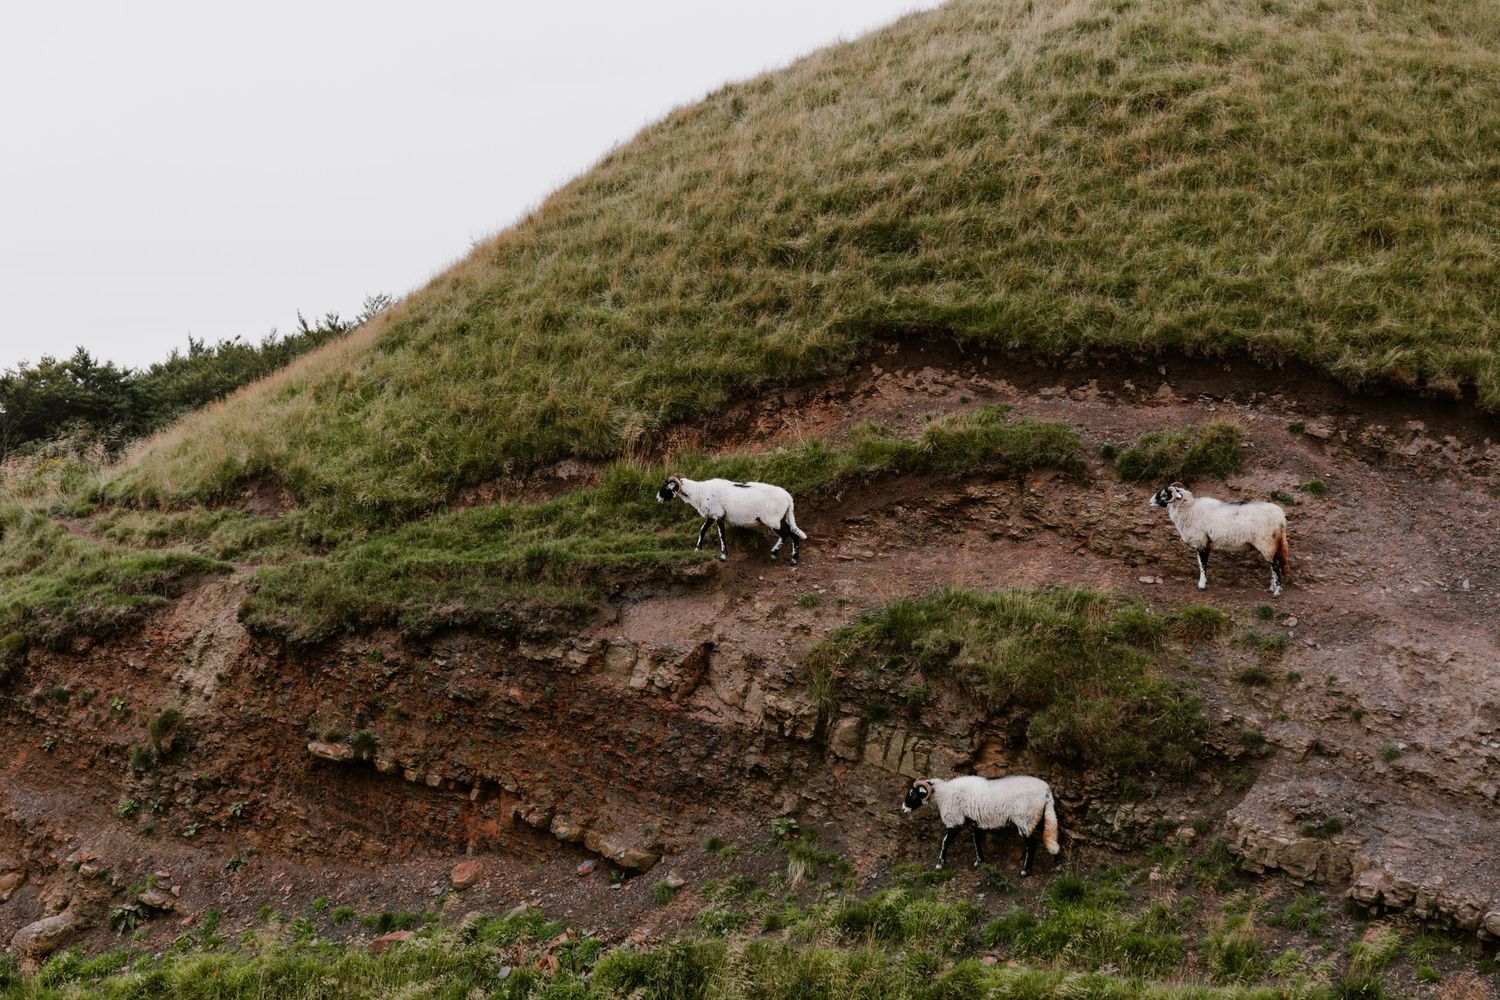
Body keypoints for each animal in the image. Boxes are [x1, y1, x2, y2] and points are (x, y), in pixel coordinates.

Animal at [656, 474, 807, 564]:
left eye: (666, 487)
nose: (657, 498)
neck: (699, 492)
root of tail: (789, 498)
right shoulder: (711, 515)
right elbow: (702, 530)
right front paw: (697, 550)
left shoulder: (718, 515)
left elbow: (721, 535)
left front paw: (723, 556)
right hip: (780, 519)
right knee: (791, 535)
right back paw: (788, 557)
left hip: (773, 520)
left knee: (787, 535)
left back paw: (782, 556)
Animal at [901, 775, 1060, 875]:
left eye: (913, 794)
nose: (903, 809)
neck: (943, 795)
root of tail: (1046, 791)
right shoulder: (975, 822)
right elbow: (977, 842)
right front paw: (980, 862)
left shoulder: (955, 821)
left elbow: (945, 842)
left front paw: (940, 864)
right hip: (1039, 815)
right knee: (1051, 836)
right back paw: (1057, 863)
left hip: (1025, 818)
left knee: (1032, 844)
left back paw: (1026, 871)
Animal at [1149, 482, 1289, 596]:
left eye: (1163, 495)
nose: (1150, 502)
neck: (1189, 509)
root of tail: (1281, 518)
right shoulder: (1205, 544)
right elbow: (1202, 563)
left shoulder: (1201, 543)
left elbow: (1202, 565)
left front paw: (1201, 585)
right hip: (1271, 543)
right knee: (1273, 565)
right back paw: (1272, 588)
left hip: (1266, 542)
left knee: (1275, 565)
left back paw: (1277, 591)